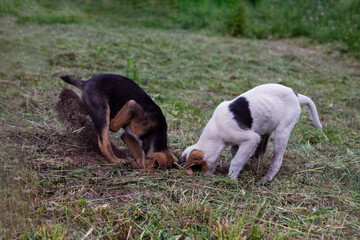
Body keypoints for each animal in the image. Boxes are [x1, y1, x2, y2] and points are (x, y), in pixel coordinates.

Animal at [181, 84, 322, 182]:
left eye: (197, 168)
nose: (204, 178)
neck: (216, 131)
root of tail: (296, 95)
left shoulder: (250, 138)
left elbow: (236, 161)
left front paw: (231, 179)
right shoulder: (238, 143)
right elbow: (236, 154)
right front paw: (243, 166)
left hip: (282, 132)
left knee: (277, 160)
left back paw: (267, 178)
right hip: (266, 126)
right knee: (262, 149)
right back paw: (255, 160)